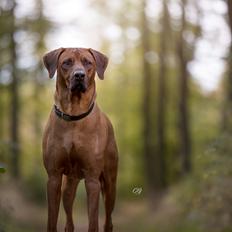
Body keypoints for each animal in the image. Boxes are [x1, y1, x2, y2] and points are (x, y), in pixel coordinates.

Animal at [42, 47, 118, 232]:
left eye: (88, 62)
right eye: (66, 62)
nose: (79, 75)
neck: (74, 114)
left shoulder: (92, 179)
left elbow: (93, 221)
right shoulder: (53, 177)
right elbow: (51, 219)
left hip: (110, 184)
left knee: (108, 220)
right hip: (69, 184)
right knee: (69, 213)